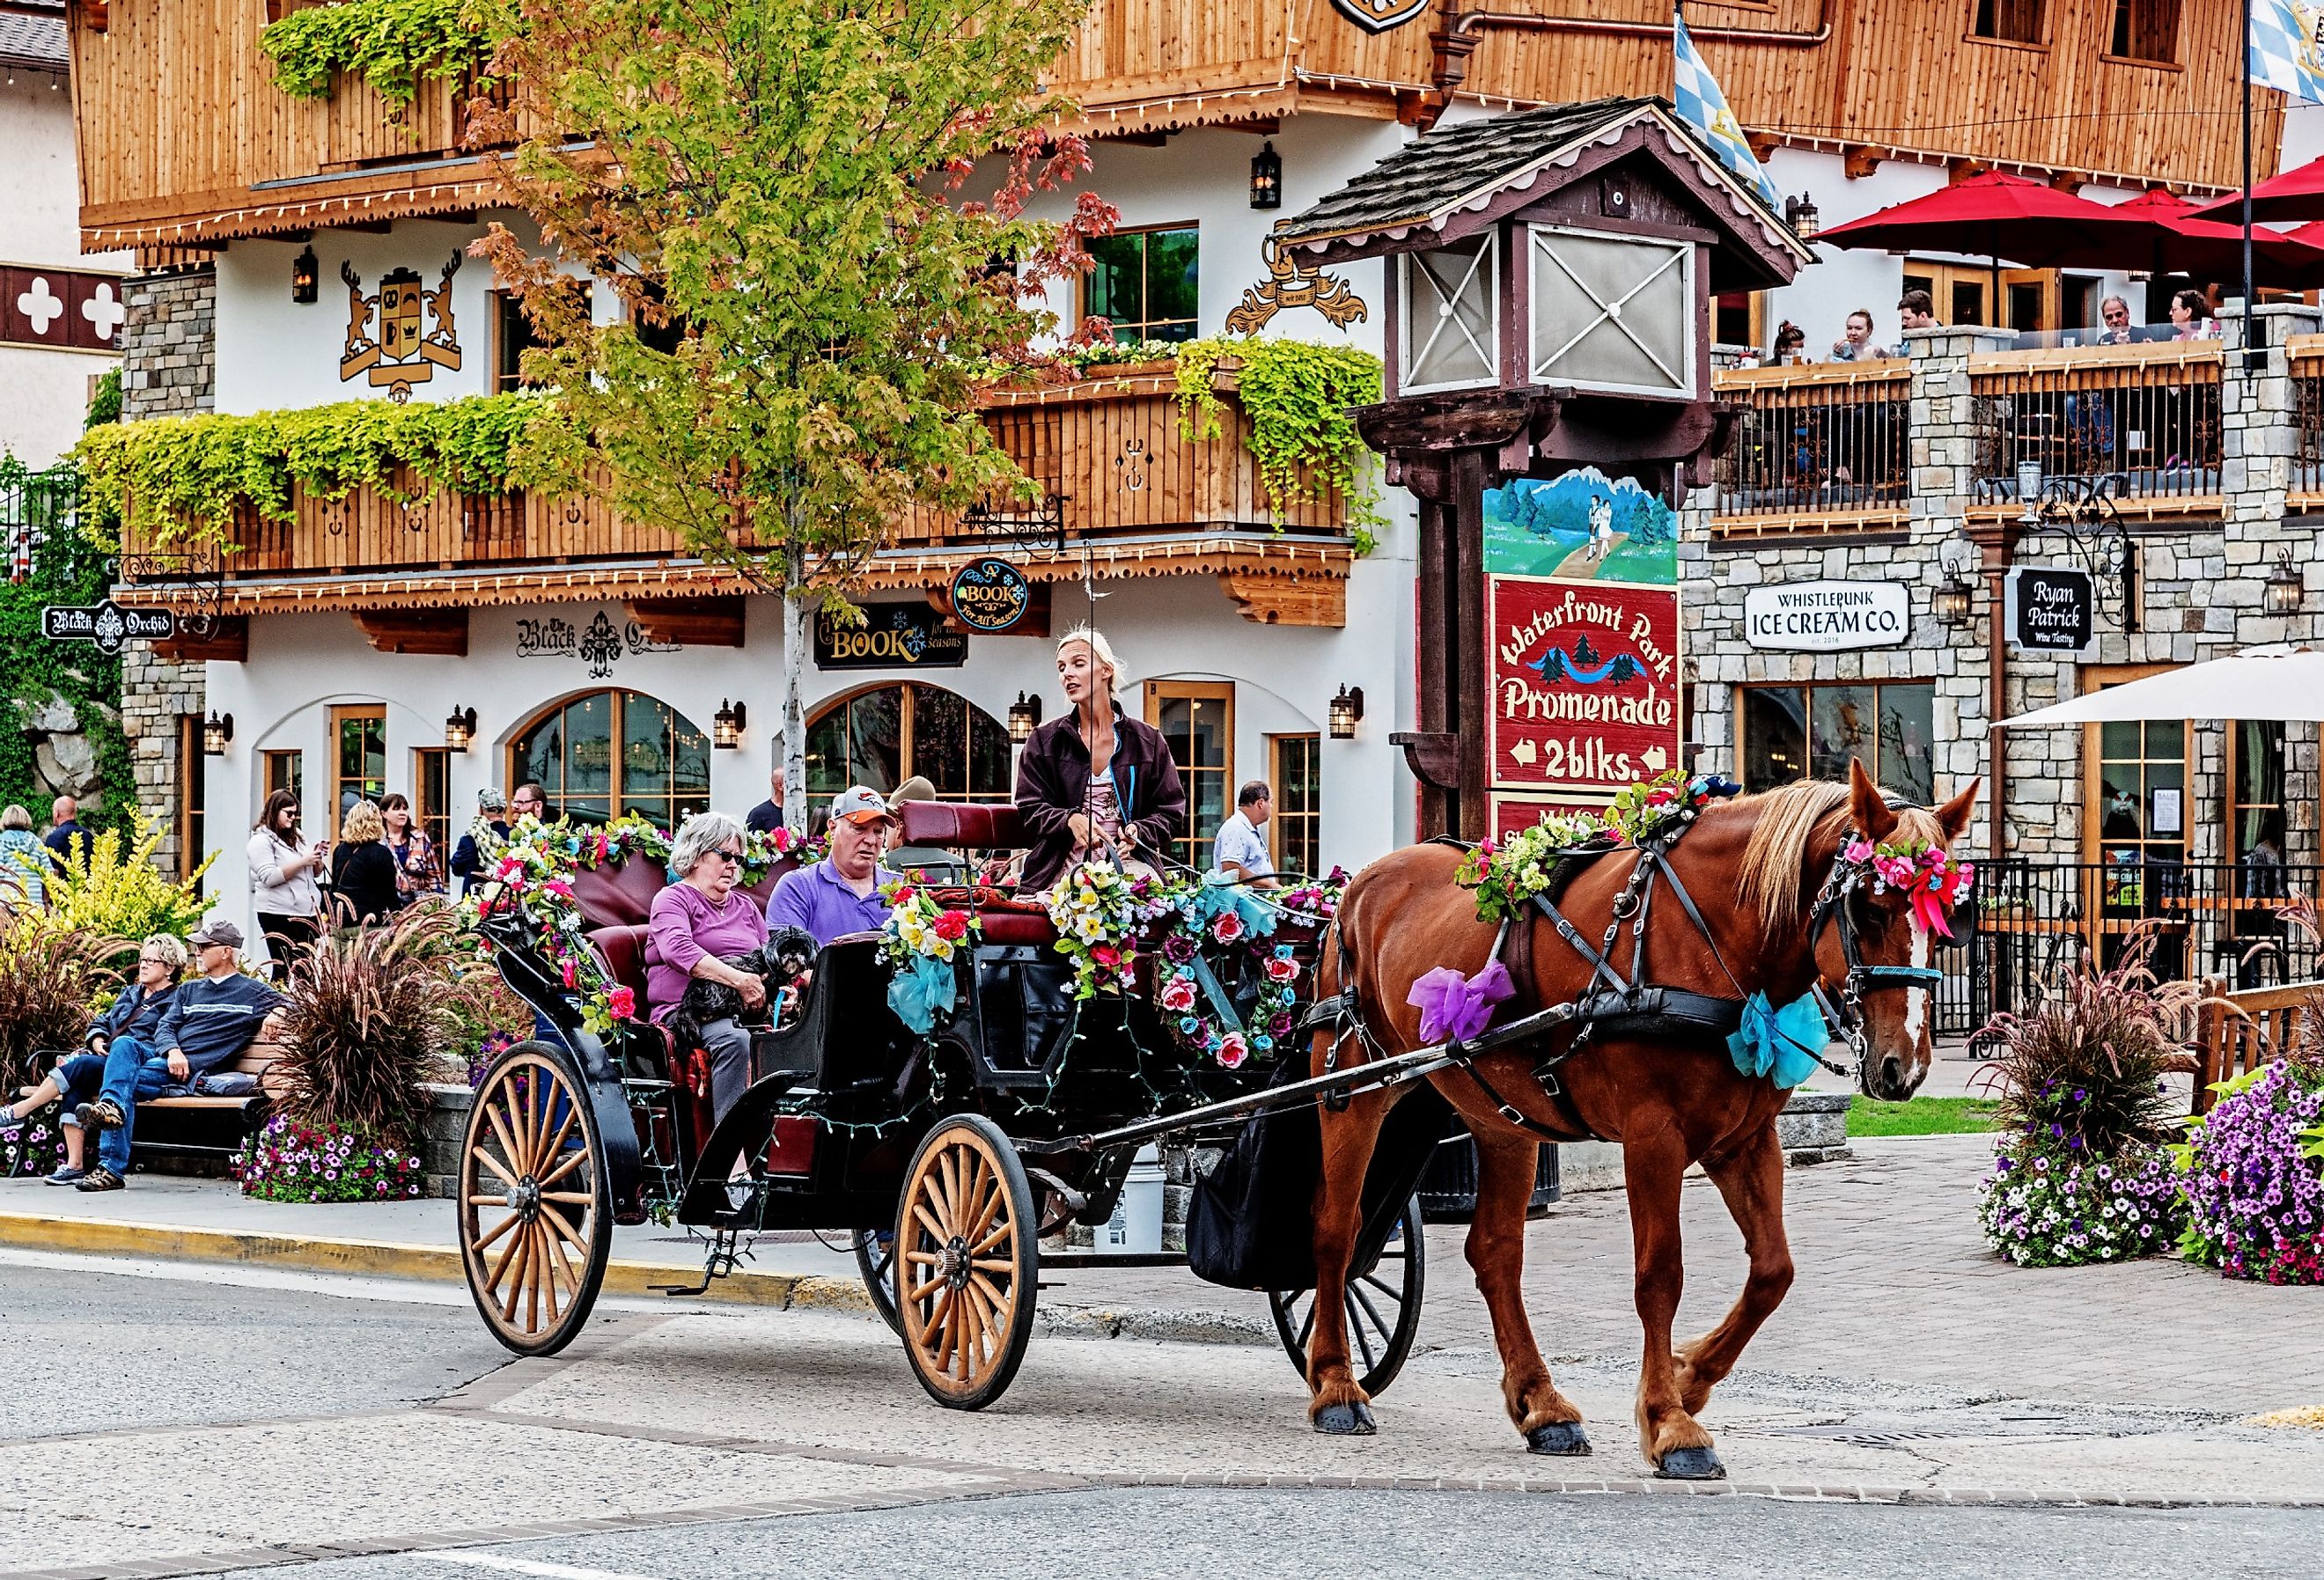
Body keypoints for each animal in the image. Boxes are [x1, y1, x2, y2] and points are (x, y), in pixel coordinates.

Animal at [1301, 767, 1970, 1477]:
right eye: (1869, 906)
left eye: (1947, 916)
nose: (1904, 1064)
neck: (1708, 936)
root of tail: (1357, 887)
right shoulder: (1654, 1136)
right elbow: (1660, 1276)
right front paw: (1670, 1423)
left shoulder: (1743, 1139)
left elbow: (1773, 1270)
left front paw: (1689, 1376)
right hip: (1349, 1089)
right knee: (1337, 1232)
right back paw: (1336, 1385)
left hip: (1503, 1118)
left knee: (1494, 1251)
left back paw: (1541, 1404)